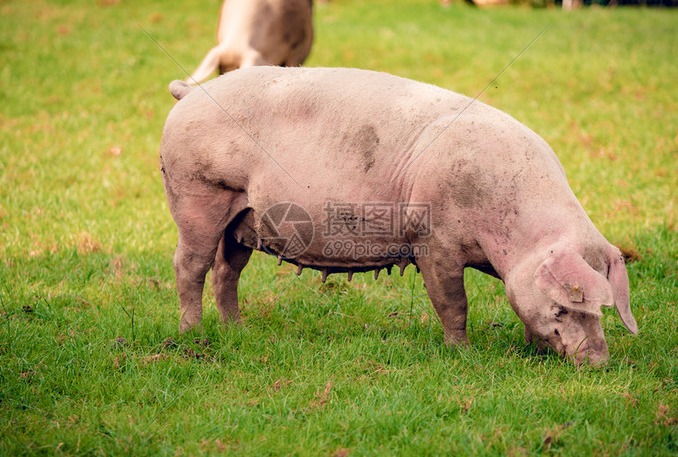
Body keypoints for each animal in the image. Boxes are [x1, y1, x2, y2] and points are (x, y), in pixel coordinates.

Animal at [162, 67, 640, 364]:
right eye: (564, 307)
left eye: (604, 311)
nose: (597, 361)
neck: (514, 239)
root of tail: (190, 91)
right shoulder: (434, 240)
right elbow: (453, 302)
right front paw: (463, 354)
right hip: (197, 194)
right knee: (190, 265)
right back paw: (191, 335)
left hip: (243, 217)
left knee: (227, 269)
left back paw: (237, 330)